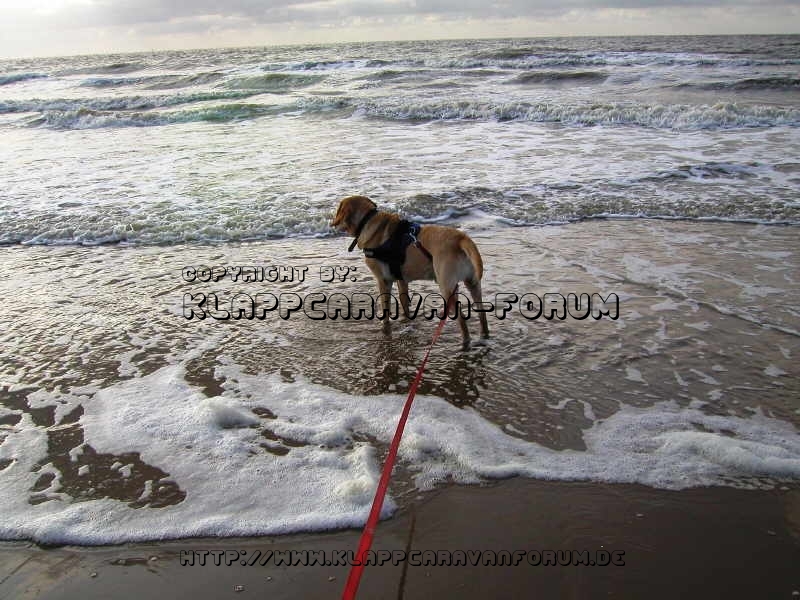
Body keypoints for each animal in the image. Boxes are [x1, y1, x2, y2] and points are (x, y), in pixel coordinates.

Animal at [330, 195, 488, 350]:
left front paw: (385, 328)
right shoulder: (401, 280)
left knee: (462, 319)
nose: (332, 223)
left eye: (338, 210)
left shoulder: (383, 280)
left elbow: (385, 308)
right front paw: (406, 321)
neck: (366, 221)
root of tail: (461, 238)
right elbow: (404, 303)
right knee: (482, 313)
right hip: (473, 283)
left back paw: (465, 343)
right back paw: (484, 336)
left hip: (446, 287)